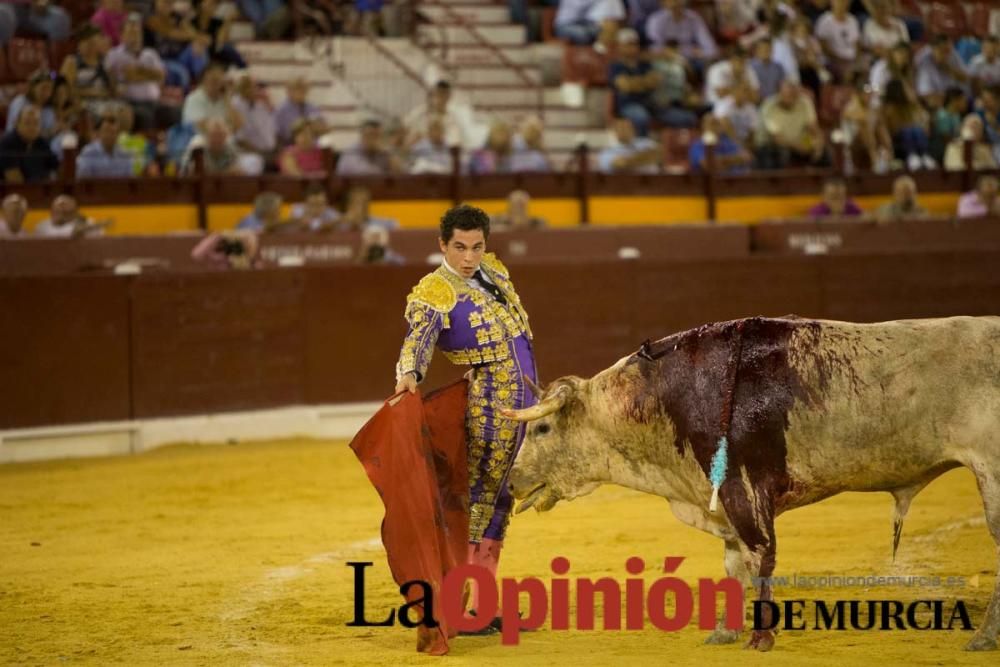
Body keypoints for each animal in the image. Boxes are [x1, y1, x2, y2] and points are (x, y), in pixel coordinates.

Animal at [508, 318, 1000, 652]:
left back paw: (983, 637)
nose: (511, 483)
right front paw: (725, 631)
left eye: (542, 429)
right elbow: (734, 565)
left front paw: (761, 637)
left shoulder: (742, 490)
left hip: (991, 475)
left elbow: (760, 557)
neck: (659, 398)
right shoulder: (723, 501)